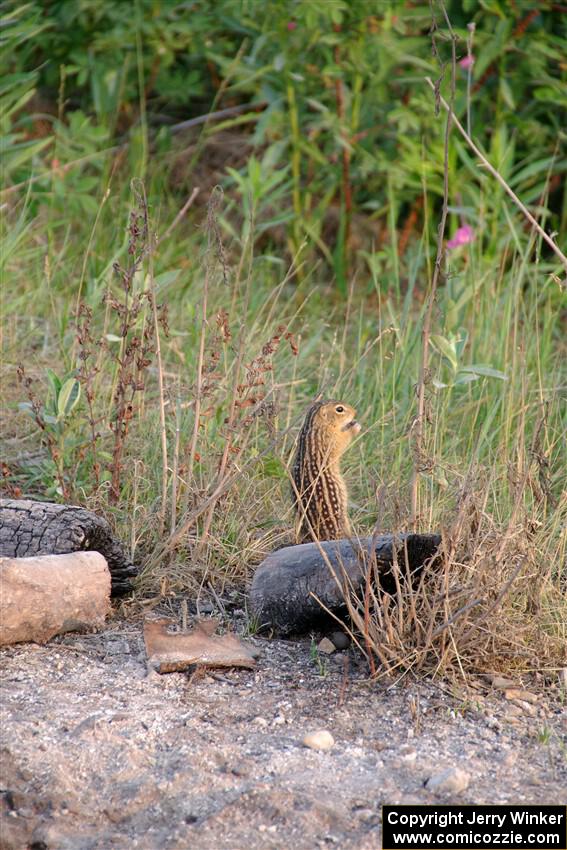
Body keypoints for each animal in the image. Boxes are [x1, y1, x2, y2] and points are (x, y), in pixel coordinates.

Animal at [292, 400, 360, 544]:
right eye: (339, 409)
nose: (355, 411)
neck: (311, 427)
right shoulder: (330, 439)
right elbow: (342, 441)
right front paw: (354, 426)